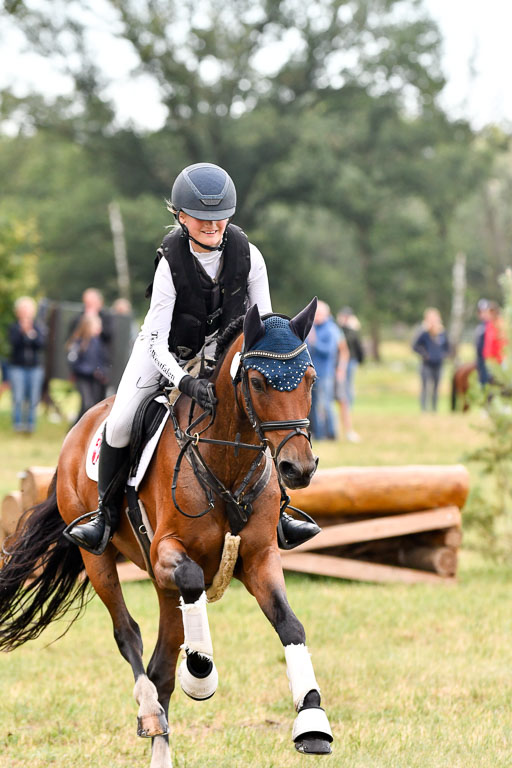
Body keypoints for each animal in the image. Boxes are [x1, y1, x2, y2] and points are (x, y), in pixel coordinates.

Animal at [0, 300, 332, 768]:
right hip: (99, 559)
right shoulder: (167, 554)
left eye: (310, 378)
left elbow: (291, 625)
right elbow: (191, 583)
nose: (298, 469)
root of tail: (83, 423)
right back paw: (151, 710)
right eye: (256, 381)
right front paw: (202, 675)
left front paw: (313, 723)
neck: (227, 461)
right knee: (128, 634)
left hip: (161, 587)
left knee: (161, 666)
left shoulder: (260, 558)